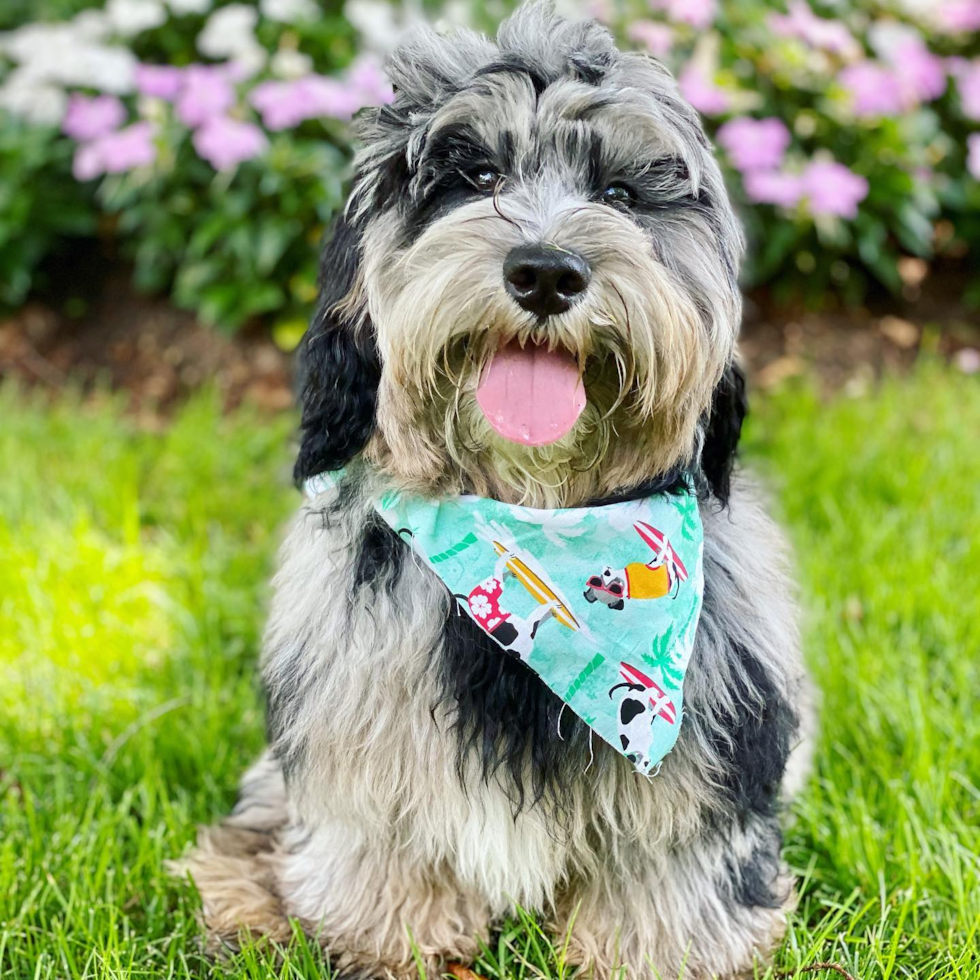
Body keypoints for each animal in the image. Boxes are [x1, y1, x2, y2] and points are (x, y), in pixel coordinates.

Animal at [178, 3, 812, 976]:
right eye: (473, 176)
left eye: (620, 194)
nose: (546, 272)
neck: (532, 516)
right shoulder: (359, 713)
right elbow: (379, 845)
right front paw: (389, 942)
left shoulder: (711, 747)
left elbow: (667, 875)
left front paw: (654, 949)